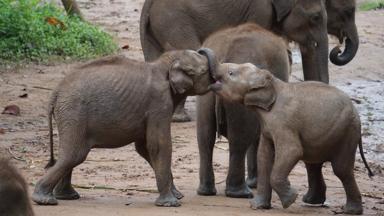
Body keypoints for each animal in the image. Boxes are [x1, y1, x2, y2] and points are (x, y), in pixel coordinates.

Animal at [31, 48, 218, 207]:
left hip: (69, 115)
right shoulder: (159, 102)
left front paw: (177, 195)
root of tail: (55, 92)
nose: (201, 49)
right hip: (73, 113)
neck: (165, 63)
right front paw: (171, 203)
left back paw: (67, 196)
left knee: (69, 154)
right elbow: (158, 145)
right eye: (204, 71)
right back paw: (44, 200)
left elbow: (144, 147)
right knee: (75, 154)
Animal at [196, 23, 290, 197]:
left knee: (205, 137)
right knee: (239, 141)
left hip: (205, 98)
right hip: (237, 105)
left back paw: (206, 191)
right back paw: (241, 193)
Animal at [208, 62, 374, 214]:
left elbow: (292, 151)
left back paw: (350, 211)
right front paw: (257, 207)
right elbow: (264, 157)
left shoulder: (283, 123)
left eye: (231, 73)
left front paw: (291, 199)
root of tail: (357, 113)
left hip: (347, 131)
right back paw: (316, 202)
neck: (272, 82)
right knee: (315, 164)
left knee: (341, 169)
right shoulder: (267, 127)